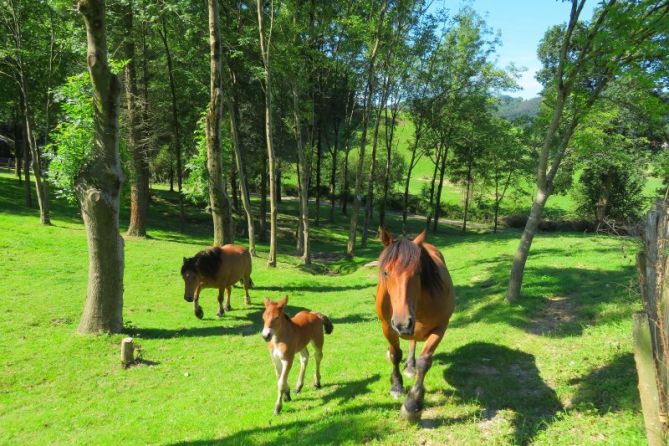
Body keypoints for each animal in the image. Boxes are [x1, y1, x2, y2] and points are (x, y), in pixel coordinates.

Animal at [376, 230, 454, 422]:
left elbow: (424, 362)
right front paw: (396, 386)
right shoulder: (387, 327)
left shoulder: (440, 328)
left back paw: (411, 365)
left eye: (418, 272)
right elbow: (395, 355)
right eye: (386, 272)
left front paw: (413, 403)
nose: (403, 323)